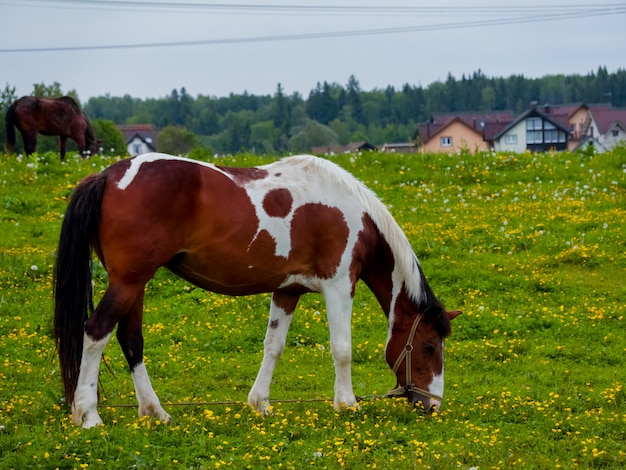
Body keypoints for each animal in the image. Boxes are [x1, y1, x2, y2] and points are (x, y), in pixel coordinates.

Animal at [53, 152, 458, 428]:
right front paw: (346, 403)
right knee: (96, 331)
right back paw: (88, 415)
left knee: (131, 339)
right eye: (428, 346)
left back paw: (154, 412)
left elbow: (273, 347)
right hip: (128, 282)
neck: (353, 214)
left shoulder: (287, 291)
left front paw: (260, 403)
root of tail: (107, 176)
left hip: (134, 284)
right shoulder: (340, 285)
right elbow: (342, 349)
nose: (433, 404)